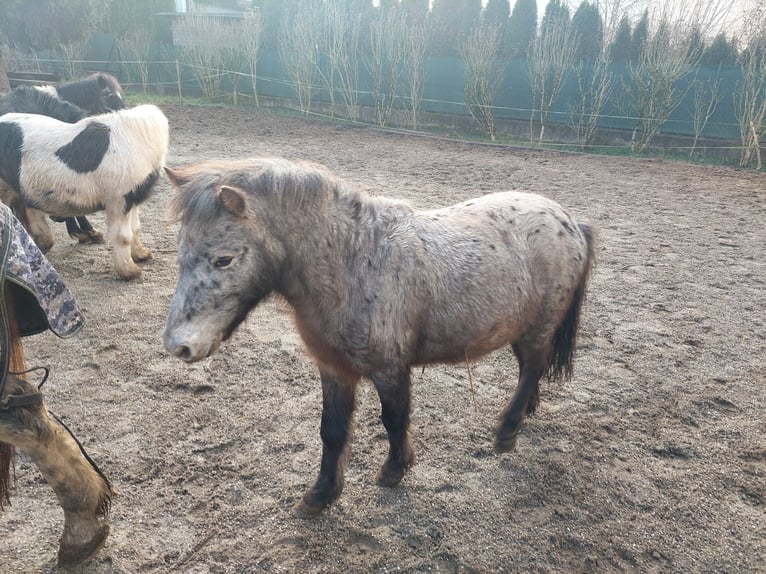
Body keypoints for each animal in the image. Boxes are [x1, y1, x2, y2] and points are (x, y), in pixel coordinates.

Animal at [0, 106, 169, 284]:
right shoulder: (120, 200)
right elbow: (123, 236)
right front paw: (130, 272)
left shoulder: (133, 198)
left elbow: (136, 228)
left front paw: (142, 255)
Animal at [165, 156, 596, 516]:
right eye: (181, 253)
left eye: (224, 259)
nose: (178, 345)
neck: (354, 262)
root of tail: (569, 221)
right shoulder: (334, 369)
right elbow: (332, 431)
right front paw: (321, 495)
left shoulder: (390, 369)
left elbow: (394, 419)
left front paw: (394, 469)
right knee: (530, 370)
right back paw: (523, 415)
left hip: (539, 327)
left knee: (533, 367)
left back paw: (506, 432)